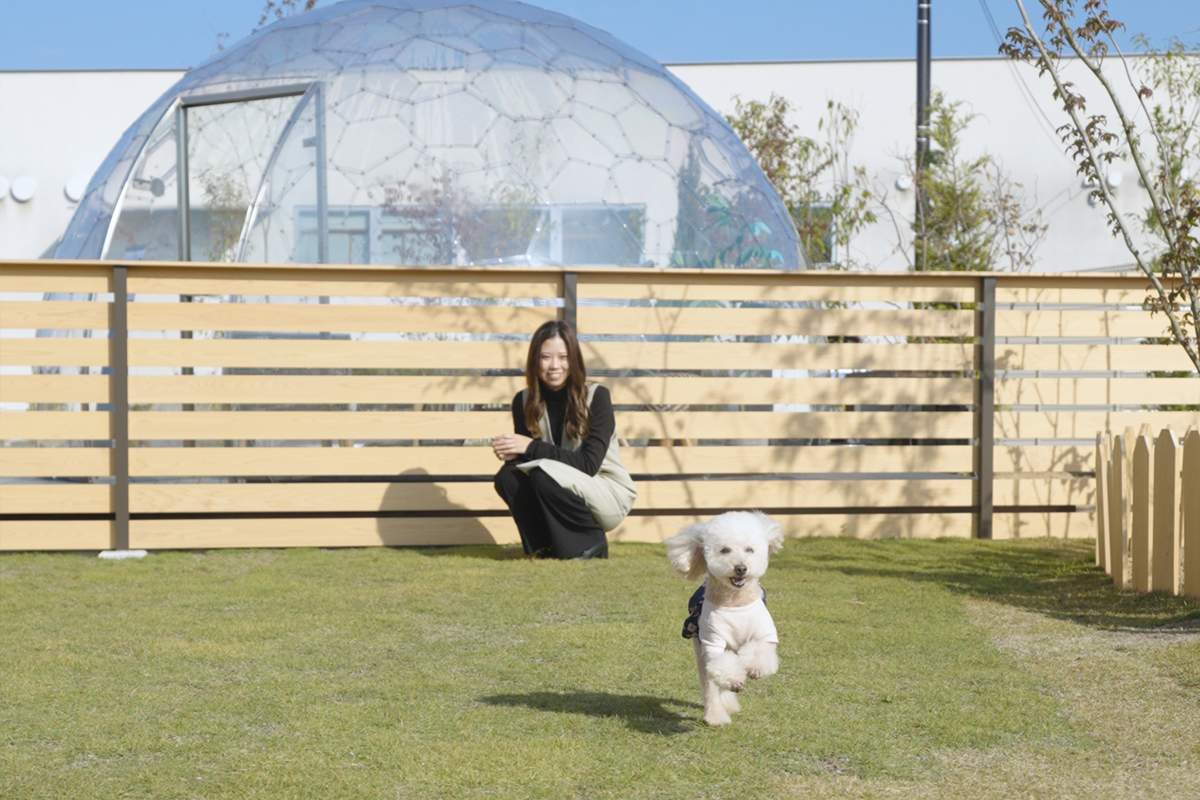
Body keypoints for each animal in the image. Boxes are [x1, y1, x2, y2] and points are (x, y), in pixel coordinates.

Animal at [662, 513, 782, 724]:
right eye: (724, 550)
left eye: (749, 549)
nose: (741, 568)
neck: (735, 601)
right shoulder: (712, 642)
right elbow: (722, 668)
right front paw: (734, 683)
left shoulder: (764, 633)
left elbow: (759, 652)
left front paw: (755, 670)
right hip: (700, 645)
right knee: (710, 683)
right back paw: (717, 715)